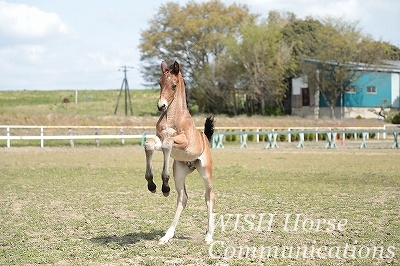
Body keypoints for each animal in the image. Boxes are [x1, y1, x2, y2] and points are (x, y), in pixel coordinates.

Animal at [145, 61, 216, 244]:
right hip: (180, 172)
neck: (172, 117)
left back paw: (209, 235)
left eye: (174, 85)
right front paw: (154, 185)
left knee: (209, 197)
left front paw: (163, 183)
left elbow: (168, 144)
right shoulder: (159, 138)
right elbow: (149, 144)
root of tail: (205, 138)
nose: (161, 106)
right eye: (160, 83)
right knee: (183, 198)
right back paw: (167, 235)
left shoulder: (182, 142)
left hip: (206, 172)